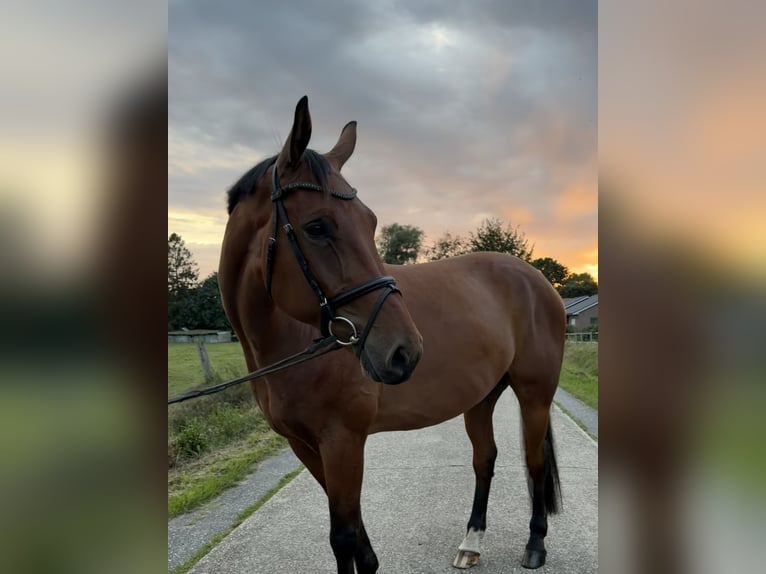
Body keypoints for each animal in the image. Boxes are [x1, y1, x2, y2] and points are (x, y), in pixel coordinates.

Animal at [218, 96, 565, 573]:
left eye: (371, 222)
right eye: (317, 227)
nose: (405, 351)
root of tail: (538, 279)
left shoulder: (343, 442)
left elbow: (343, 537)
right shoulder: (306, 447)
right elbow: (358, 538)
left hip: (535, 396)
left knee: (533, 463)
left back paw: (536, 543)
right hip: (480, 398)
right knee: (484, 460)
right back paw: (471, 542)